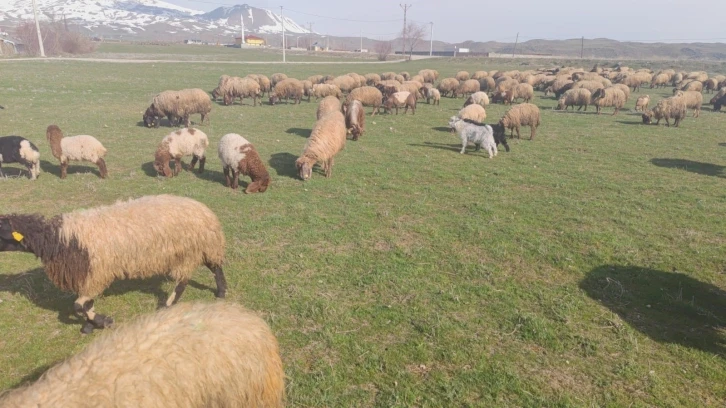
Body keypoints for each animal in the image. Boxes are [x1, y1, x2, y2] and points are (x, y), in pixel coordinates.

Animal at [0, 196, 226, 334]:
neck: (59, 239)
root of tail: (204, 210)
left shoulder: (96, 273)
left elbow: (78, 306)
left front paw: (103, 322)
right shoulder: (89, 275)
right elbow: (85, 305)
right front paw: (89, 326)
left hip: (192, 249)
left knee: (184, 281)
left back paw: (168, 305)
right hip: (199, 248)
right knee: (213, 267)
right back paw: (221, 291)